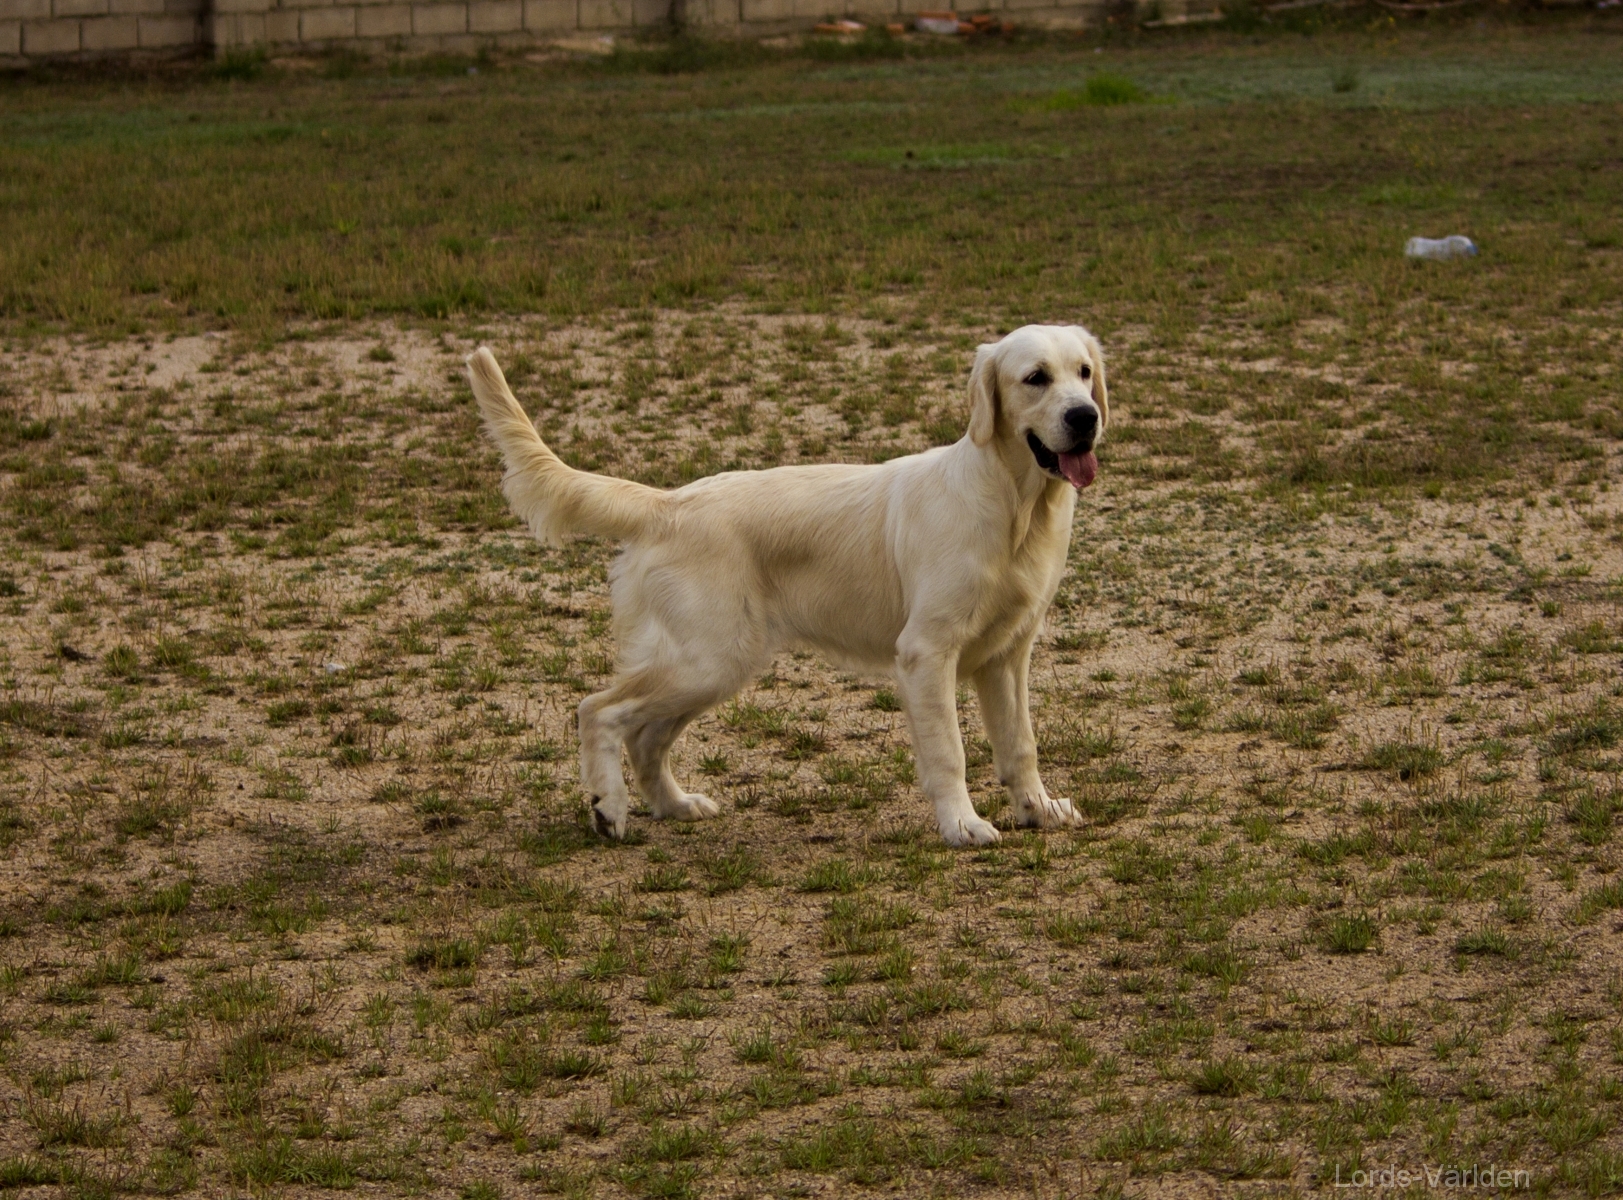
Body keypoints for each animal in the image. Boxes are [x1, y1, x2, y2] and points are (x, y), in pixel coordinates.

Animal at [469, 323, 1107, 846]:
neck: (1014, 506)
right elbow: (948, 751)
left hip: (716, 664)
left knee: (645, 737)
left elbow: (1020, 745)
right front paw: (962, 824)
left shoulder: (1007, 654)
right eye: (1035, 378)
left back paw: (674, 805)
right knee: (597, 709)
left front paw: (1039, 809)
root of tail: (666, 503)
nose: (1085, 418)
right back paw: (609, 808)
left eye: (1083, 373)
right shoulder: (927, 652)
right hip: (709, 657)